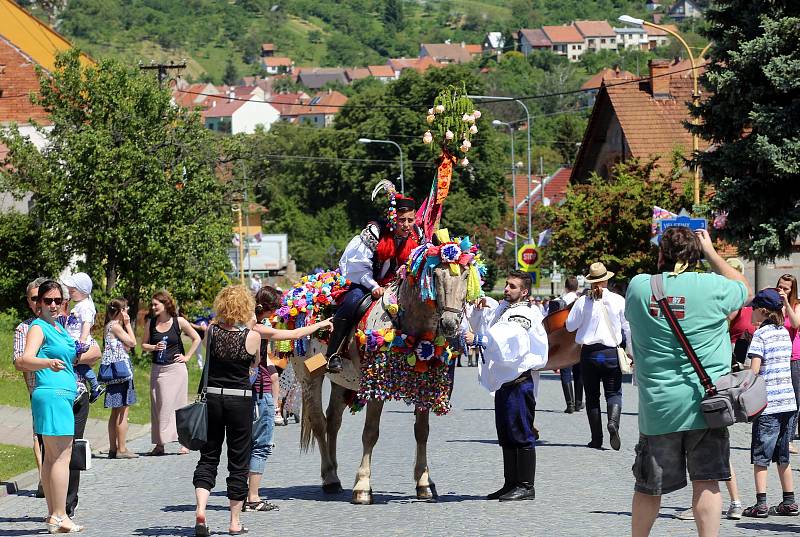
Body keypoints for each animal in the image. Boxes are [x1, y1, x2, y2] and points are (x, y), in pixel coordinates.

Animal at [290, 251, 472, 502]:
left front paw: (424, 483)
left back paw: (334, 475)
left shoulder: (425, 387)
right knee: (319, 422)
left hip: (342, 381)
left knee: (333, 422)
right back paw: (329, 477)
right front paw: (362, 486)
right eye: (435, 274)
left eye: (465, 275)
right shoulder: (377, 388)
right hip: (310, 377)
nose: (450, 323)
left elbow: (422, 432)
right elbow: (370, 433)